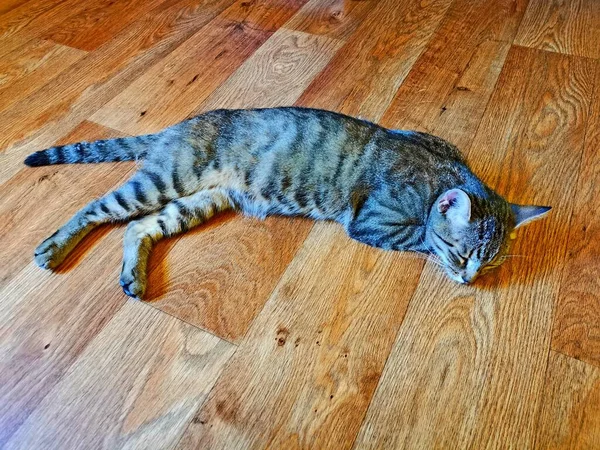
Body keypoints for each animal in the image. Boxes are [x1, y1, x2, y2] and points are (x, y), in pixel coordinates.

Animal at [25, 107, 552, 298]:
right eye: (462, 257)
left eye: (488, 265)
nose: (470, 280)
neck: (444, 172)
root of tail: (182, 124)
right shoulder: (373, 222)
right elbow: (423, 238)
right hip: (165, 179)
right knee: (95, 208)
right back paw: (53, 248)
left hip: (198, 200)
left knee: (139, 227)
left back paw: (134, 275)